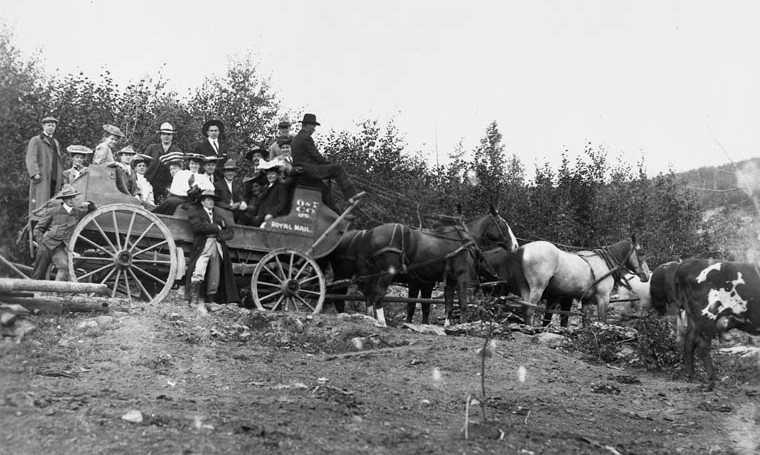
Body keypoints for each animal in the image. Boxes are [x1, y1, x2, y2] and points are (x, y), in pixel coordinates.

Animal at [360, 207, 520, 328]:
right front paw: (463, 325)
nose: (516, 245)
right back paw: (382, 322)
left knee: (369, 296)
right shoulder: (462, 278)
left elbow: (448, 304)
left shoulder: (451, 280)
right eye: (502, 223)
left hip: (373, 274)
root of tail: (370, 232)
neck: (464, 239)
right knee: (378, 295)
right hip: (387, 273)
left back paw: (370, 319)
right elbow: (463, 304)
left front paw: (447, 326)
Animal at [498, 237, 648, 326]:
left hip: (525, 286)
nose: (646, 275)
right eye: (641, 253)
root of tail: (523, 249)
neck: (605, 262)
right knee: (530, 308)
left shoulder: (587, 300)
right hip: (537, 287)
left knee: (524, 307)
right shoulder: (603, 297)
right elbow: (602, 319)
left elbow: (585, 320)